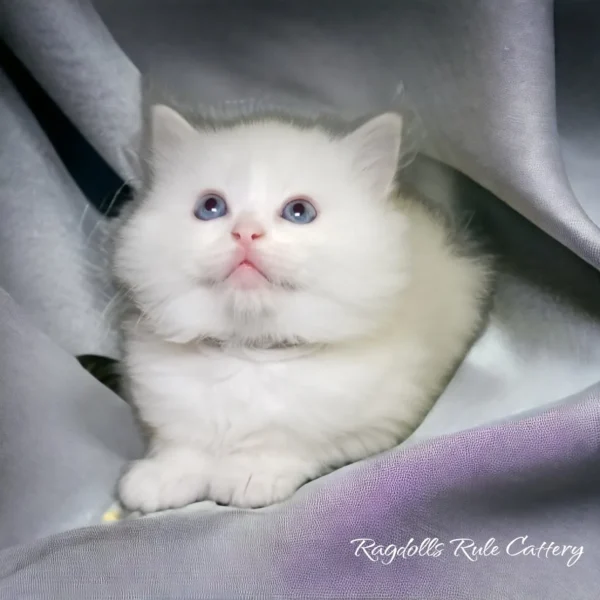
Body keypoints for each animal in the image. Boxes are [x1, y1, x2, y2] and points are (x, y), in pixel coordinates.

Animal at [113, 104, 492, 510]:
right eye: (210, 207)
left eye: (299, 212)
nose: (246, 232)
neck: (250, 354)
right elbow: (182, 442)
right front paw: (164, 476)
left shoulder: (379, 423)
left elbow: (293, 440)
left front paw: (251, 474)